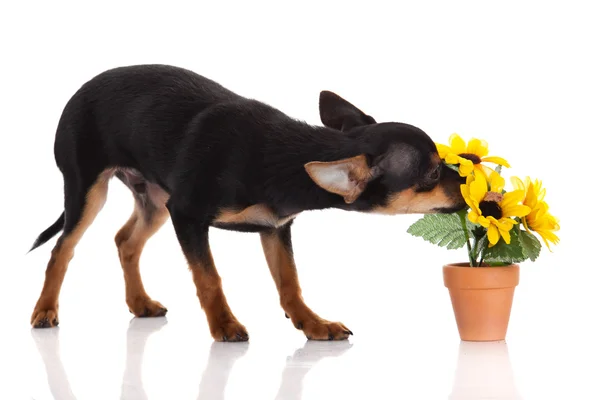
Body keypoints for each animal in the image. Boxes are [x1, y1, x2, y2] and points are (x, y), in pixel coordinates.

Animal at [28, 65, 466, 340]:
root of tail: (81, 88)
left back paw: (139, 302)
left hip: (152, 199)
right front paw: (223, 324)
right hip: (89, 191)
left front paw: (312, 324)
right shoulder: (186, 215)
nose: (471, 174)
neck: (288, 157)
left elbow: (290, 282)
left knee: (125, 241)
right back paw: (45, 309)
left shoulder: (274, 228)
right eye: (431, 174)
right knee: (62, 247)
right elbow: (209, 278)